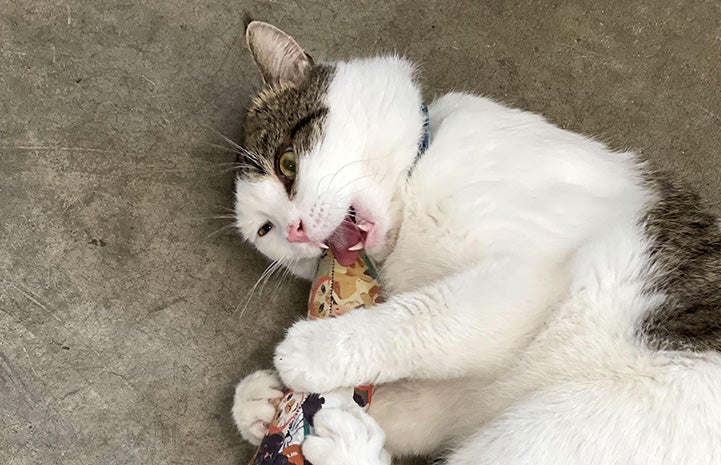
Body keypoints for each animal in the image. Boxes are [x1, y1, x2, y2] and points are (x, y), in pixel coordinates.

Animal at [231, 20, 720, 464]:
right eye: (265, 230)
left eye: (287, 164)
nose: (295, 230)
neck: (413, 183)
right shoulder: (464, 395)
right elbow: (410, 403)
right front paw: (265, 406)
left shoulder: (526, 275)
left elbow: (424, 316)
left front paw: (314, 350)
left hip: (563, 425)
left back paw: (347, 448)